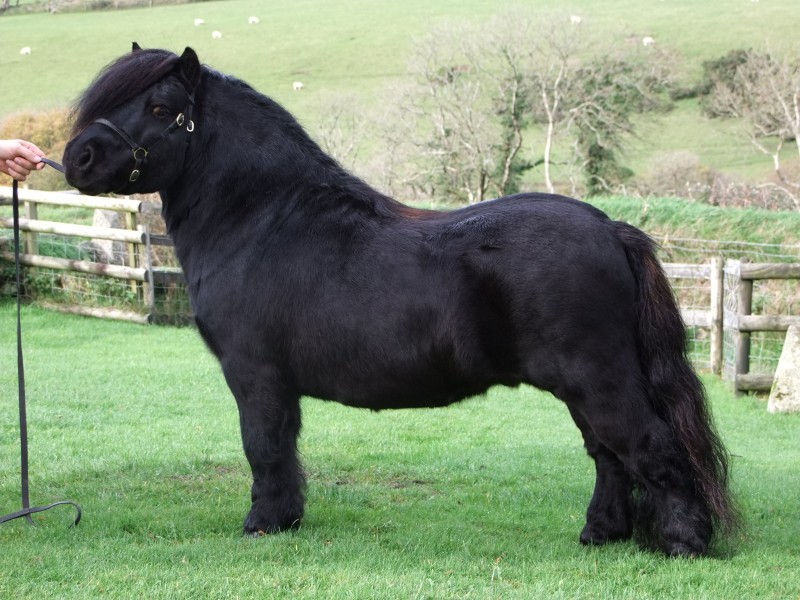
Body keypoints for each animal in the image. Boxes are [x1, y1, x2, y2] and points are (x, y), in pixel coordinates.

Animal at [62, 45, 738, 557]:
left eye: (160, 107)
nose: (77, 157)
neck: (264, 219)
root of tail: (611, 228)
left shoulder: (254, 375)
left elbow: (264, 446)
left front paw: (263, 523)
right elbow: (285, 449)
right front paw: (287, 518)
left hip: (599, 379)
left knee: (647, 446)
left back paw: (683, 543)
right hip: (585, 386)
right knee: (608, 455)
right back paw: (601, 533)